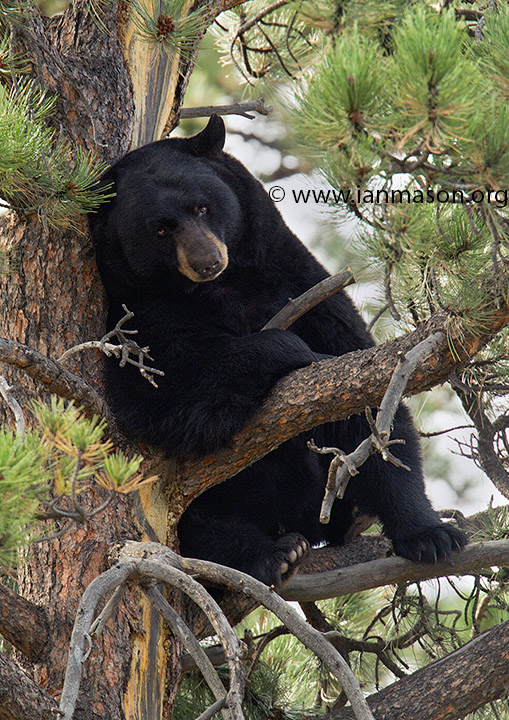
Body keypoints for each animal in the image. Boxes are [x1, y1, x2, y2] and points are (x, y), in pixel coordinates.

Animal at [88, 115, 466, 589]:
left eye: (202, 207)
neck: (224, 289)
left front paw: (430, 534)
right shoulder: (137, 312)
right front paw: (300, 354)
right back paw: (274, 554)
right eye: (160, 228)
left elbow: (369, 400)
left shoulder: (300, 283)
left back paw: (350, 518)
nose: (208, 261)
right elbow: (159, 392)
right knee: (202, 526)